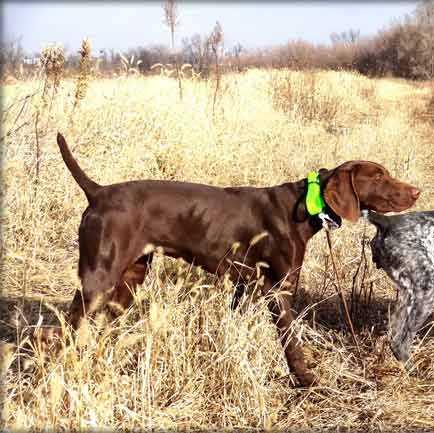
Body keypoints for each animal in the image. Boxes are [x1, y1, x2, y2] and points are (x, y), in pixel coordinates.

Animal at [50, 133, 420, 386]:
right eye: (378, 176)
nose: (417, 191)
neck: (303, 205)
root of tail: (98, 192)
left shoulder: (245, 288)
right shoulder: (278, 289)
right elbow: (290, 342)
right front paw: (305, 379)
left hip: (130, 279)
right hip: (98, 278)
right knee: (65, 328)